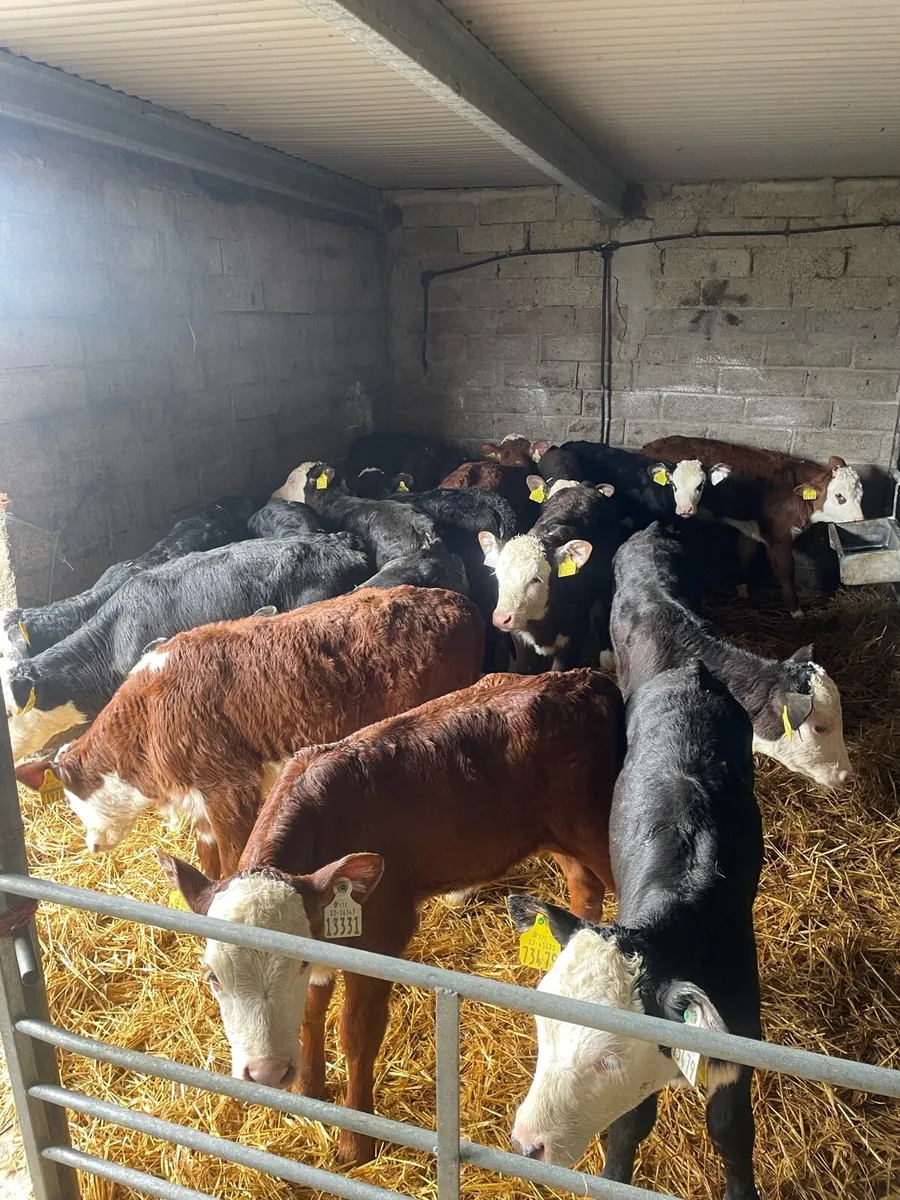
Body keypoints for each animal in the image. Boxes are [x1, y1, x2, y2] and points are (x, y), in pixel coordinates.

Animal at [15, 587, 484, 877]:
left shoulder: (230, 788)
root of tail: (456, 602)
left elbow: (232, 858)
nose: (92, 845)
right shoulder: (201, 800)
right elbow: (206, 857)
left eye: (72, 801)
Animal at [157, 668, 623, 1165]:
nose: (266, 1073)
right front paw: (309, 1088)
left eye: (296, 963)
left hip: (596, 831)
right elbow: (310, 1011)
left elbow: (358, 1033)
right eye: (212, 976)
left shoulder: (379, 939)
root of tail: (586, 679)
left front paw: (354, 1140)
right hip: (553, 835)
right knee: (584, 889)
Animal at [509, 658, 762, 1200]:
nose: (526, 1144)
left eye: (610, 1059)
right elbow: (628, 1127)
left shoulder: (740, 1038)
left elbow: (730, 1129)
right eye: (542, 1025)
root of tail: (691, 670)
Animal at [641, 436, 864, 616]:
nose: (860, 521)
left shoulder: (751, 526)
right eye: (839, 496)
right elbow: (785, 570)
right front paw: (796, 611)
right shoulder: (779, 536)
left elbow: (745, 552)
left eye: (861, 494)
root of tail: (651, 445)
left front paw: (742, 588)